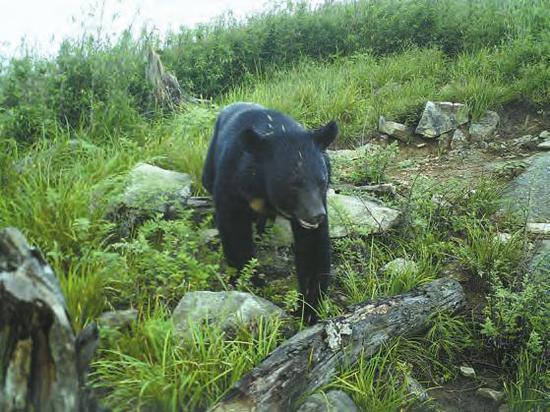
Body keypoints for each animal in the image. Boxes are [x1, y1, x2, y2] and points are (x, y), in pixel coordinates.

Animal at [204, 103, 340, 322]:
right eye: (293, 184)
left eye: (322, 180)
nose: (316, 215)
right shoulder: (233, 178)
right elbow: (234, 230)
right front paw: (249, 282)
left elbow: (313, 246)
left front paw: (309, 308)